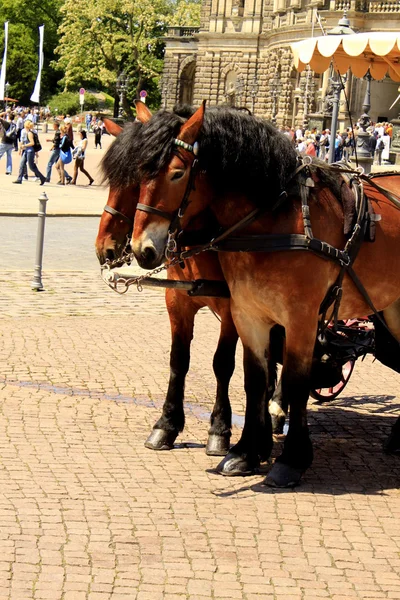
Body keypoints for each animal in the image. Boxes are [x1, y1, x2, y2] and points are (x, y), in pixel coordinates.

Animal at [96, 117, 241, 454]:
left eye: (176, 174)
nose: (103, 247)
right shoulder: (178, 302)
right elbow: (179, 360)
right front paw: (167, 424)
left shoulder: (234, 310)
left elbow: (222, 364)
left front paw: (220, 428)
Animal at [130, 102, 400, 488]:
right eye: (136, 172)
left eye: (178, 173)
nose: (142, 249)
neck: (272, 221)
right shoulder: (248, 314)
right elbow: (254, 379)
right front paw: (245, 452)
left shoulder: (300, 318)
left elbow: (295, 382)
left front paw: (291, 459)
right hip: (392, 308)